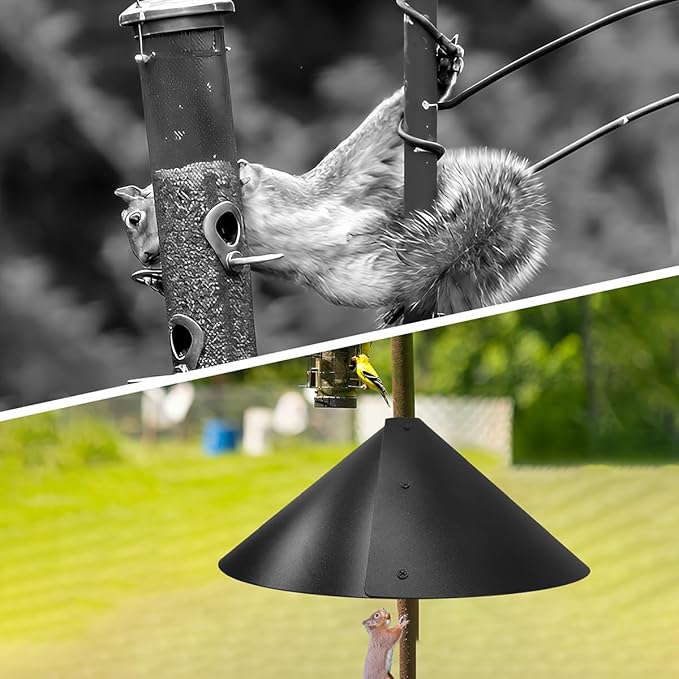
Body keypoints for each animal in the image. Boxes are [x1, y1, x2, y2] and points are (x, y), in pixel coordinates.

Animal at [116, 50, 550, 325]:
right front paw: (155, 279)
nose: (148, 256)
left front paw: (241, 175)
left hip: (355, 168)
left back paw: (442, 69)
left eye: (134, 218)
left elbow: (256, 178)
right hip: (359, 281)